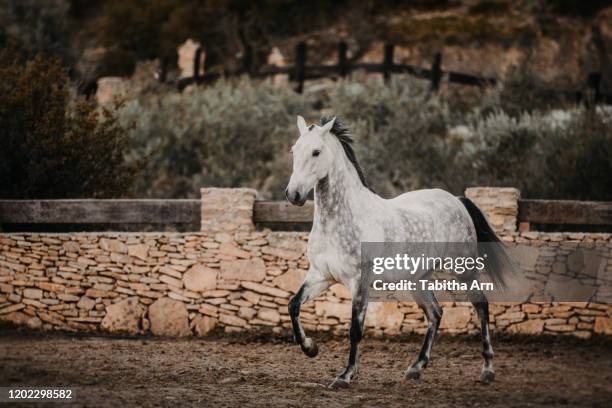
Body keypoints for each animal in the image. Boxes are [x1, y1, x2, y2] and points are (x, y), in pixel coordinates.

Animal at [284, 115, 510, 388]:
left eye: (316, 152)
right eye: (294, 150)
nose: (293, 194)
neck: (342, 220)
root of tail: (457, 201)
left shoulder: (360, 282)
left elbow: (355, 330)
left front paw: (345, 376)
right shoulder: (321, 276)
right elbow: (294, 305)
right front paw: (310, 348)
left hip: (463, 270)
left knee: (480, 305)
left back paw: (487, 370)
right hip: (417, 280)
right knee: (435, 313)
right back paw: (415, 368)